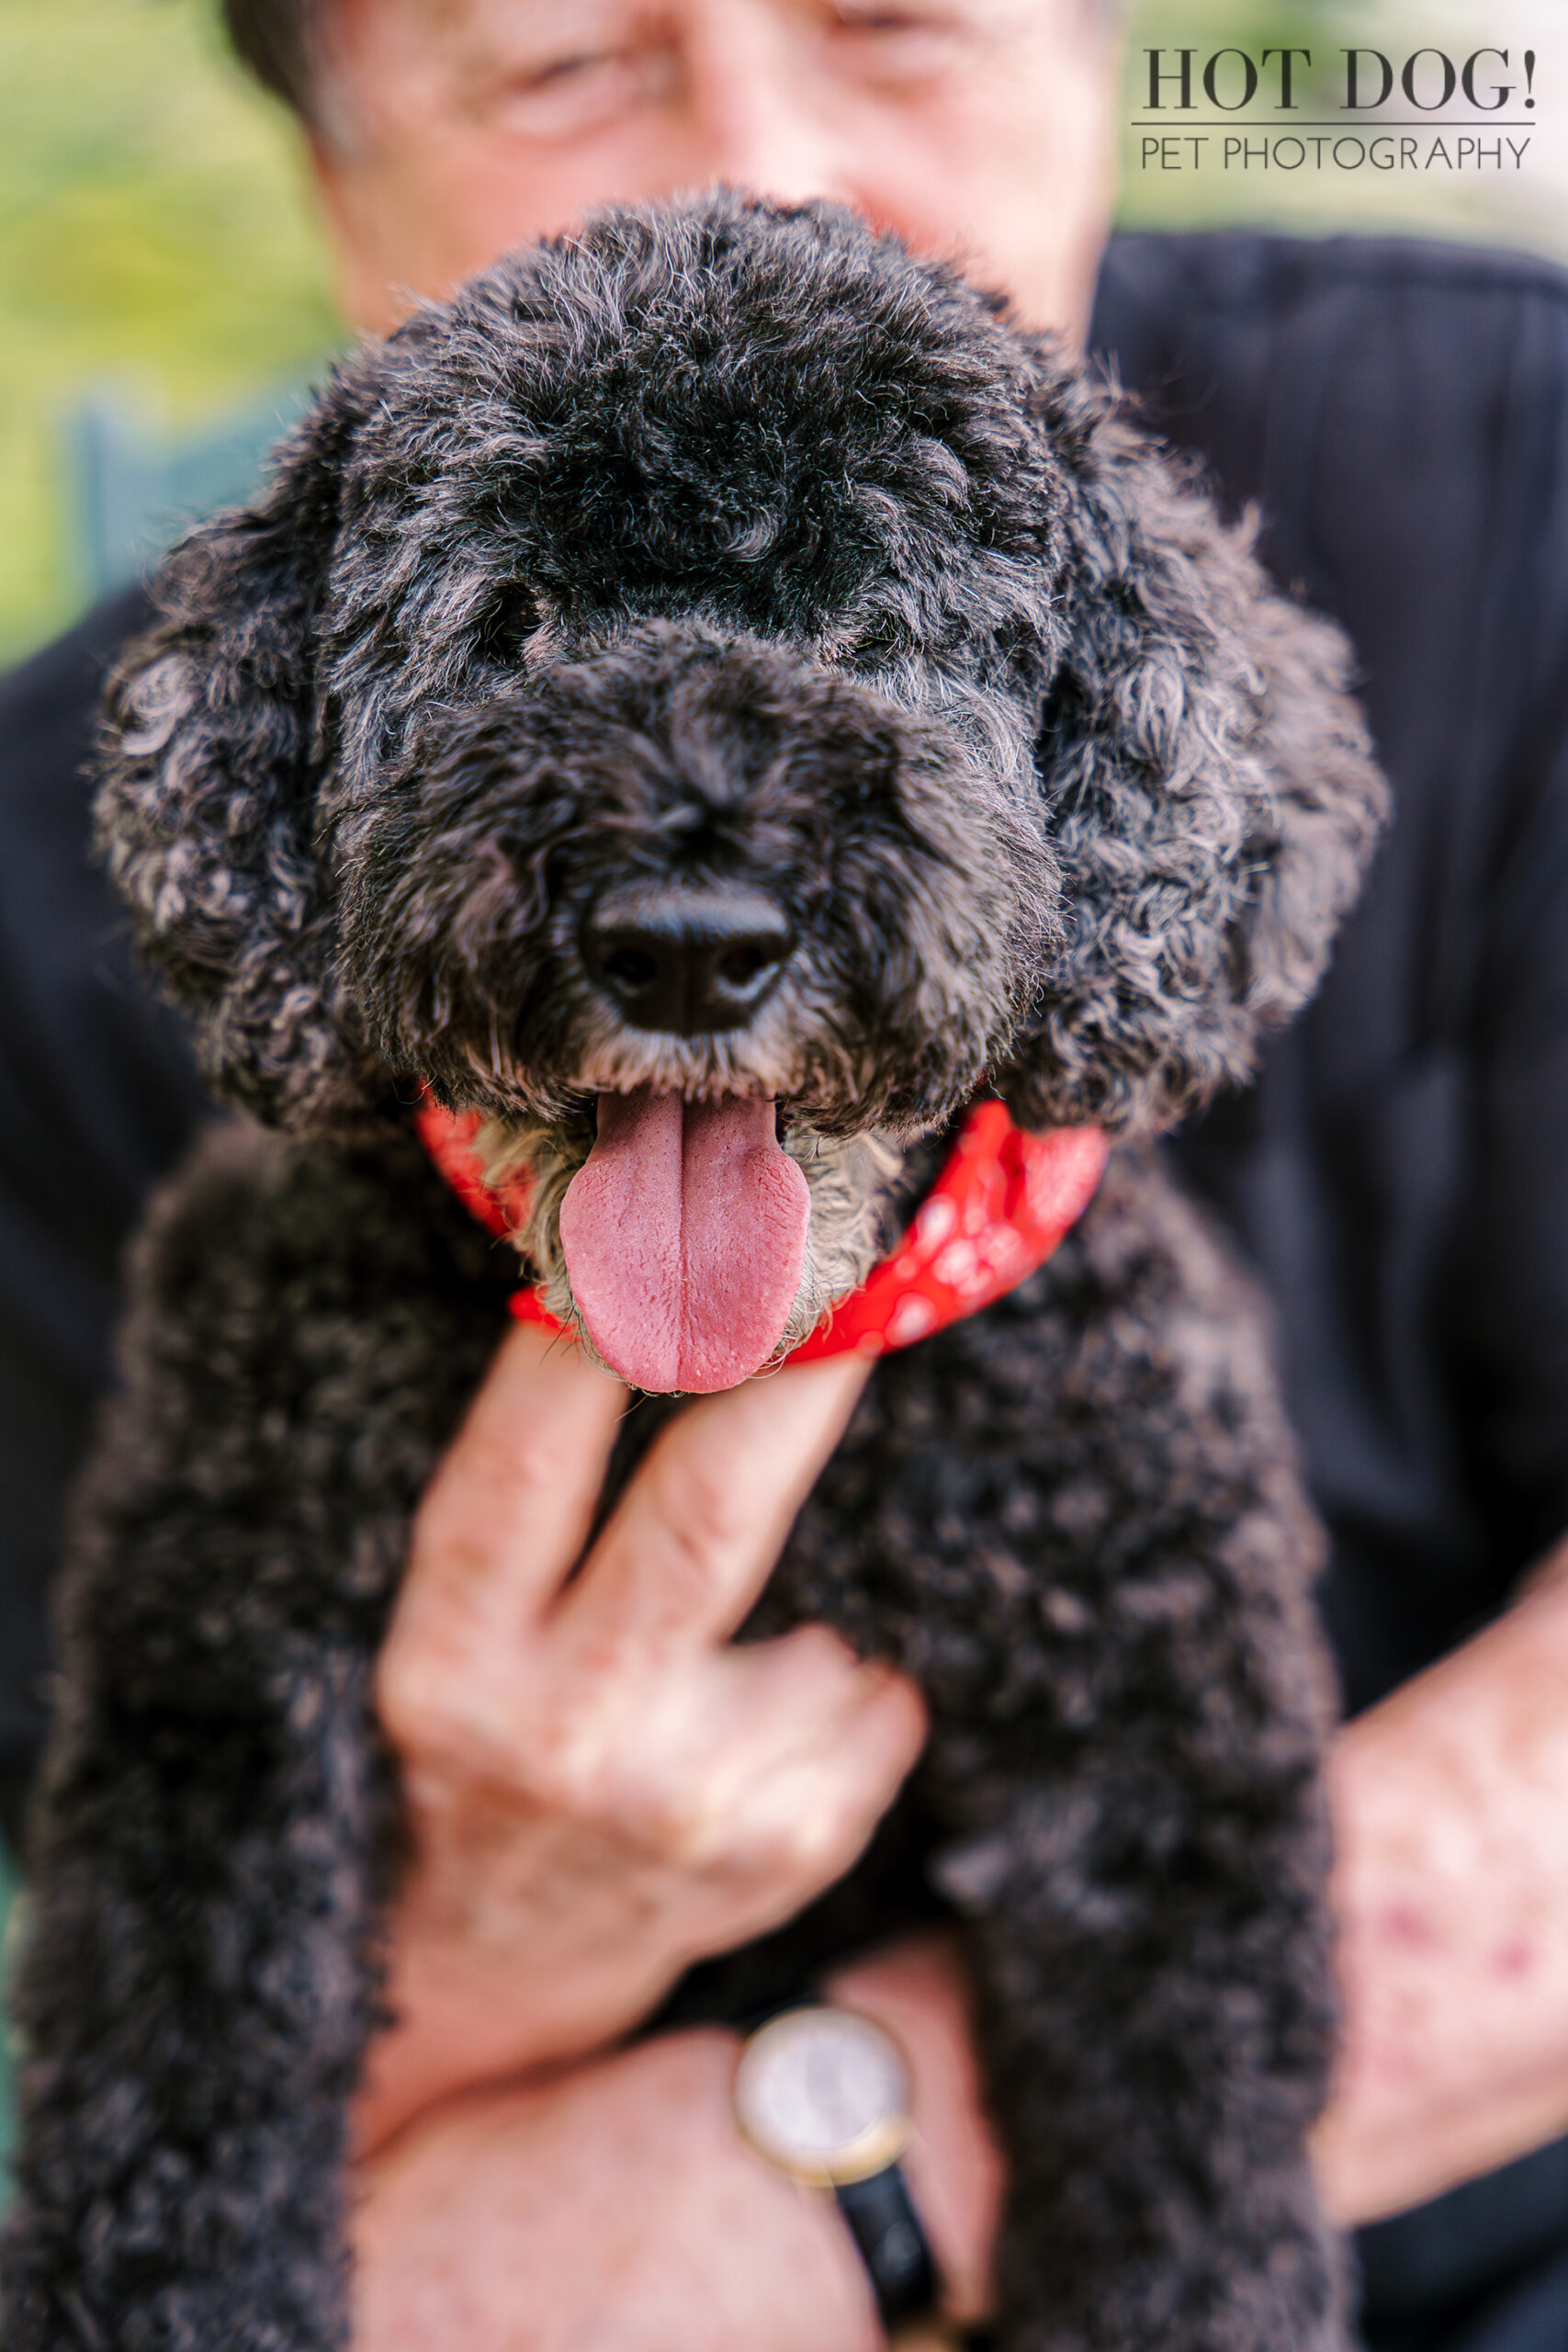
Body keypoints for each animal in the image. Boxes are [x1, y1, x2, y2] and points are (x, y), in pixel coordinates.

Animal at [8, 202, 1382, 2352]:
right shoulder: (205, 1655)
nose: (685, 938)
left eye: (876, 624)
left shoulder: (1167, 1744)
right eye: (513, 623)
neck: (698, 1385)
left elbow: (1197, 2178)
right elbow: (176, 2070)